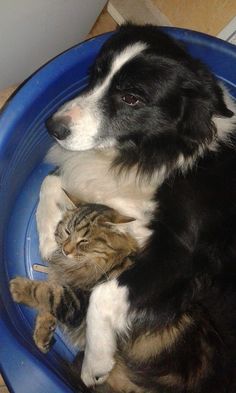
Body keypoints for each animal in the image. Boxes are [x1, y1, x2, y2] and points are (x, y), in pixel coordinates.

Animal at [10, 196, 137, 352]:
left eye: (84, 241)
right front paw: (43, 333)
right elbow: (49, 299)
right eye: (67, 231)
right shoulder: (60, 281)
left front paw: (19, 287)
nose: (65, 250)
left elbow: (47, 293)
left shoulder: (77, 303)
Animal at [36, 23, 236, 388]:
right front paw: (47, 236)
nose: (52, 127)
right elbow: (52, 180)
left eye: (132, 97)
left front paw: (96, 363)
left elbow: (103, 293)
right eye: (95, 74)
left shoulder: (183, 253)